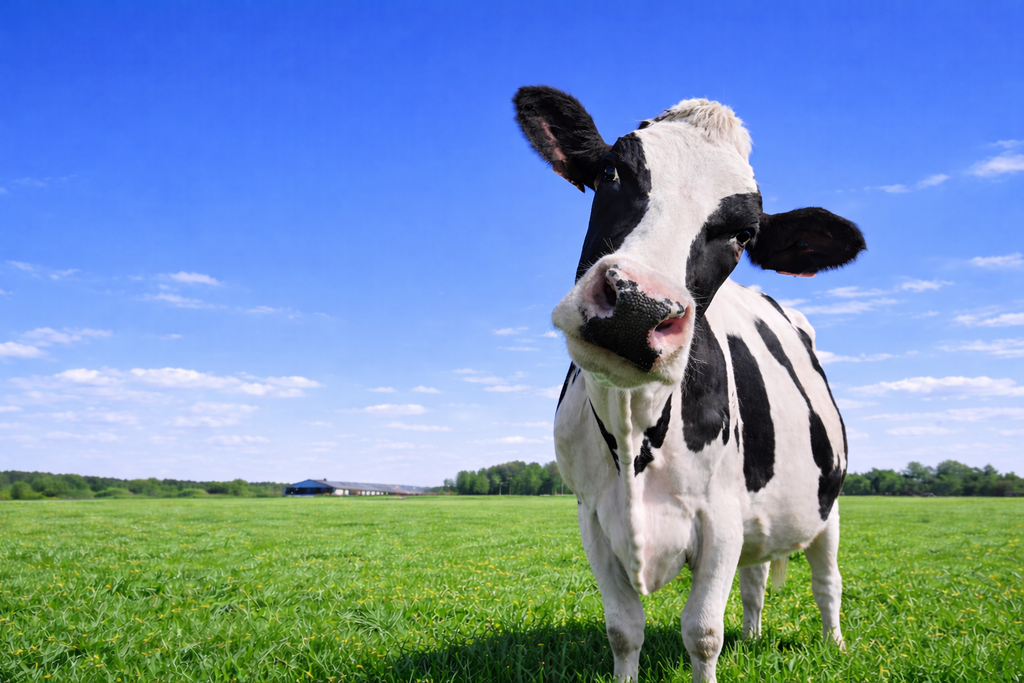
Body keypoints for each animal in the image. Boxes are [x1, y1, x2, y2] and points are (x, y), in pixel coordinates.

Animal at [513, 86, 865, 683]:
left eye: (744, 234)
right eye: (611, 171)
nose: (638, 307)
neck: (634, 421)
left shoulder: (720, 517)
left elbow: (702, 633)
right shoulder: (592, 517)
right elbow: (623, 629)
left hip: (829, 505)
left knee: (826, 581)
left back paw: (835, 644)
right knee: (754, 579)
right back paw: (753, 636)